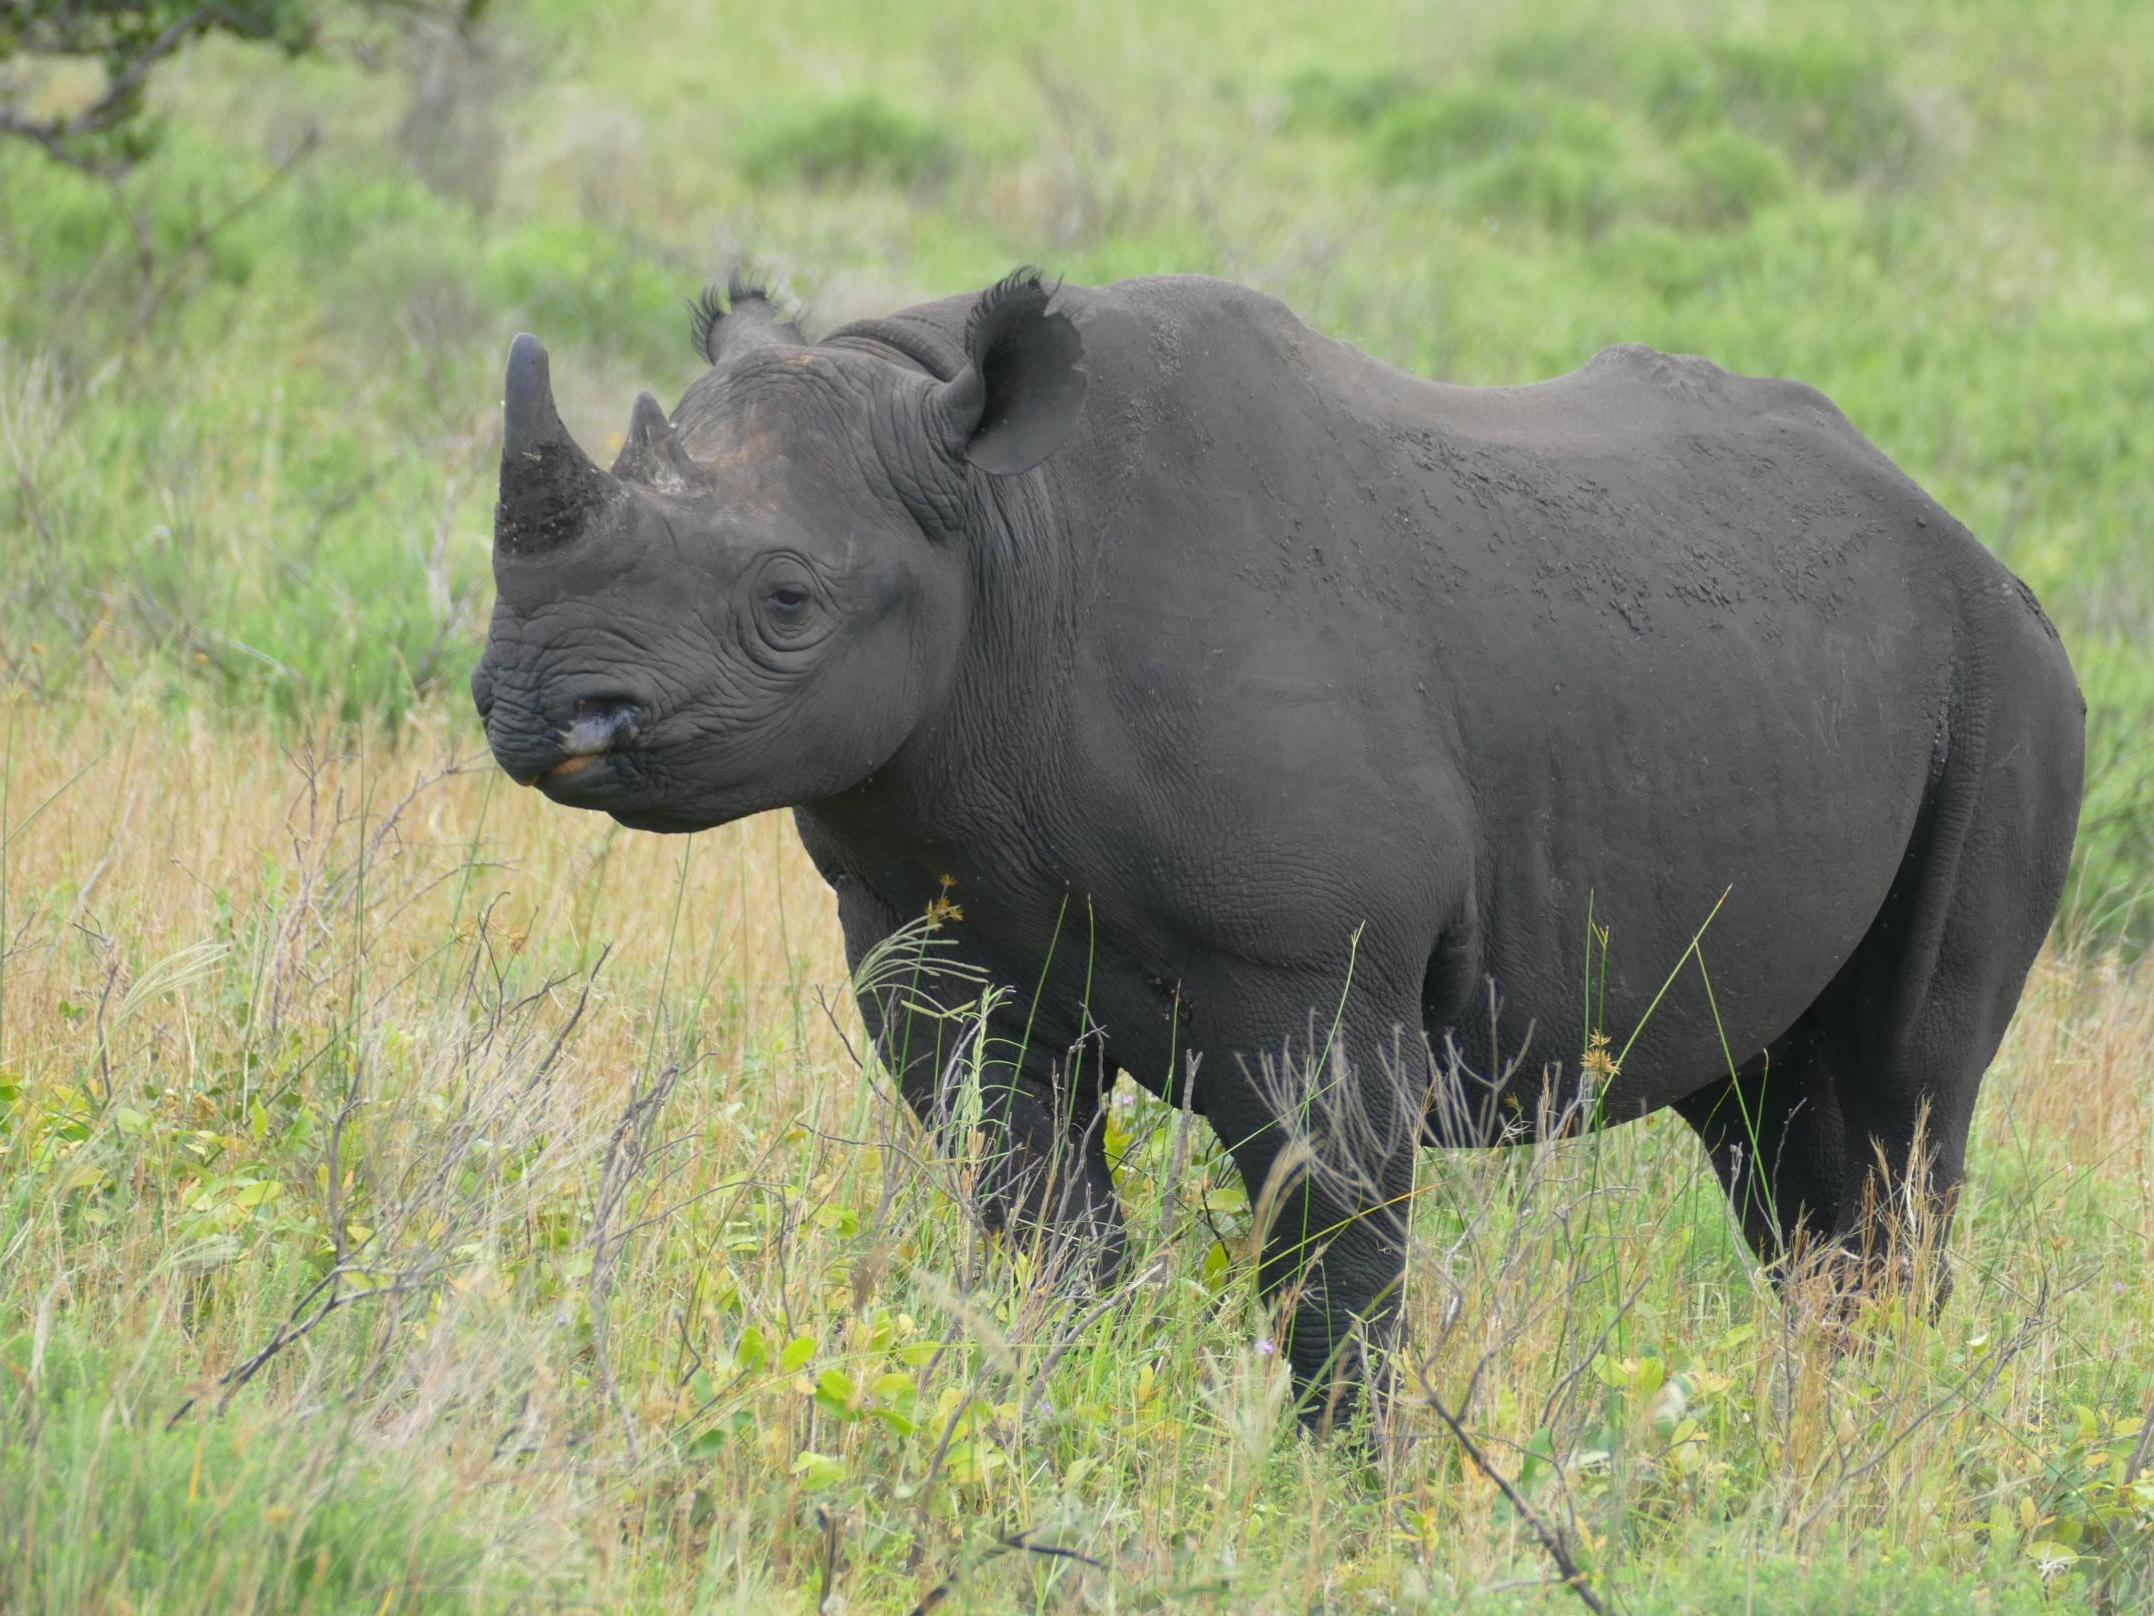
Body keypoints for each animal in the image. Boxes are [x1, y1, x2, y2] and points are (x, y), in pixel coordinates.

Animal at [476, 275, 2085, 1430]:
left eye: (788, 601)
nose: (537, 706)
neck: (998, 534)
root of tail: (1976, 542)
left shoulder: (1314, 969)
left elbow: (1333, 1253)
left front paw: (1348, 1487)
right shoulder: (920, 927)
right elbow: (1028, 1202)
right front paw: (1083, 1417)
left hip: (2007, 681)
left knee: (1905, 1100)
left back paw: (1866, 1437)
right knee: (1777, 1132)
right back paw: (1823, 1422)